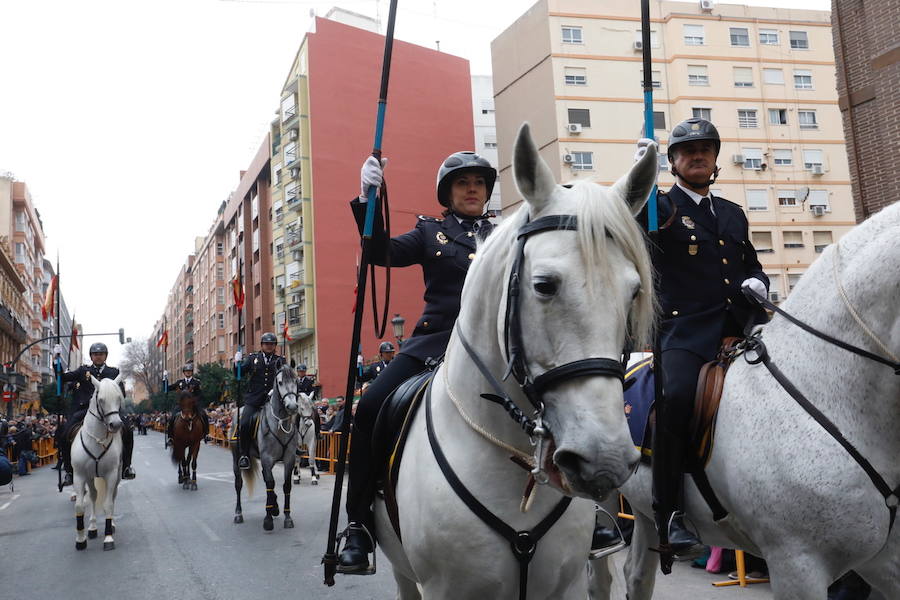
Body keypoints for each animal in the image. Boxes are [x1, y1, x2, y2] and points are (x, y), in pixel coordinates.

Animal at [72, 378, 125, 552]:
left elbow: (108, 504)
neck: (97, 439)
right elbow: (79, 506)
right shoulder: (79, 475)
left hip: (116, 477)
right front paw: (80, 540)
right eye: (101, 400)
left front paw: (108, 537)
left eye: (119, 398)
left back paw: (112, 524)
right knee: (94, 495)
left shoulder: (111, 474)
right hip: (90, 477)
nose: (115, 425)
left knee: (112, 497)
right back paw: (92, 527)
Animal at [368, 123, 660, 600]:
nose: (606, 458)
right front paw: (369, 179)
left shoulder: (564, 586)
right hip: (402, 572)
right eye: (543, 284)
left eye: (633, 291)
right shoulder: (443, 589)